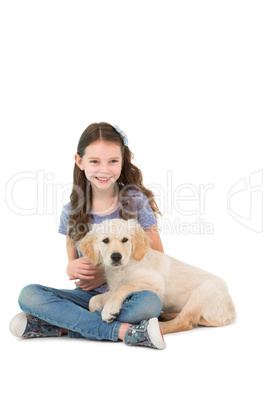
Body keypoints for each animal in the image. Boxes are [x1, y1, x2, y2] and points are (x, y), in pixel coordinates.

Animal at [78, 218, 236, 334]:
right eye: (105, 240)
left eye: (125, 240)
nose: (116, 256)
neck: (123, 268)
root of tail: (232, 312)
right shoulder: (112, 287)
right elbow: (94, 299)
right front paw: (98, 307)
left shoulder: (155, 281)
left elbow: (123, 287)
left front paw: (109, 309)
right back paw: (165, 315)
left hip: (204, 292)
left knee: (184, 321)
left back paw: (152, 328)